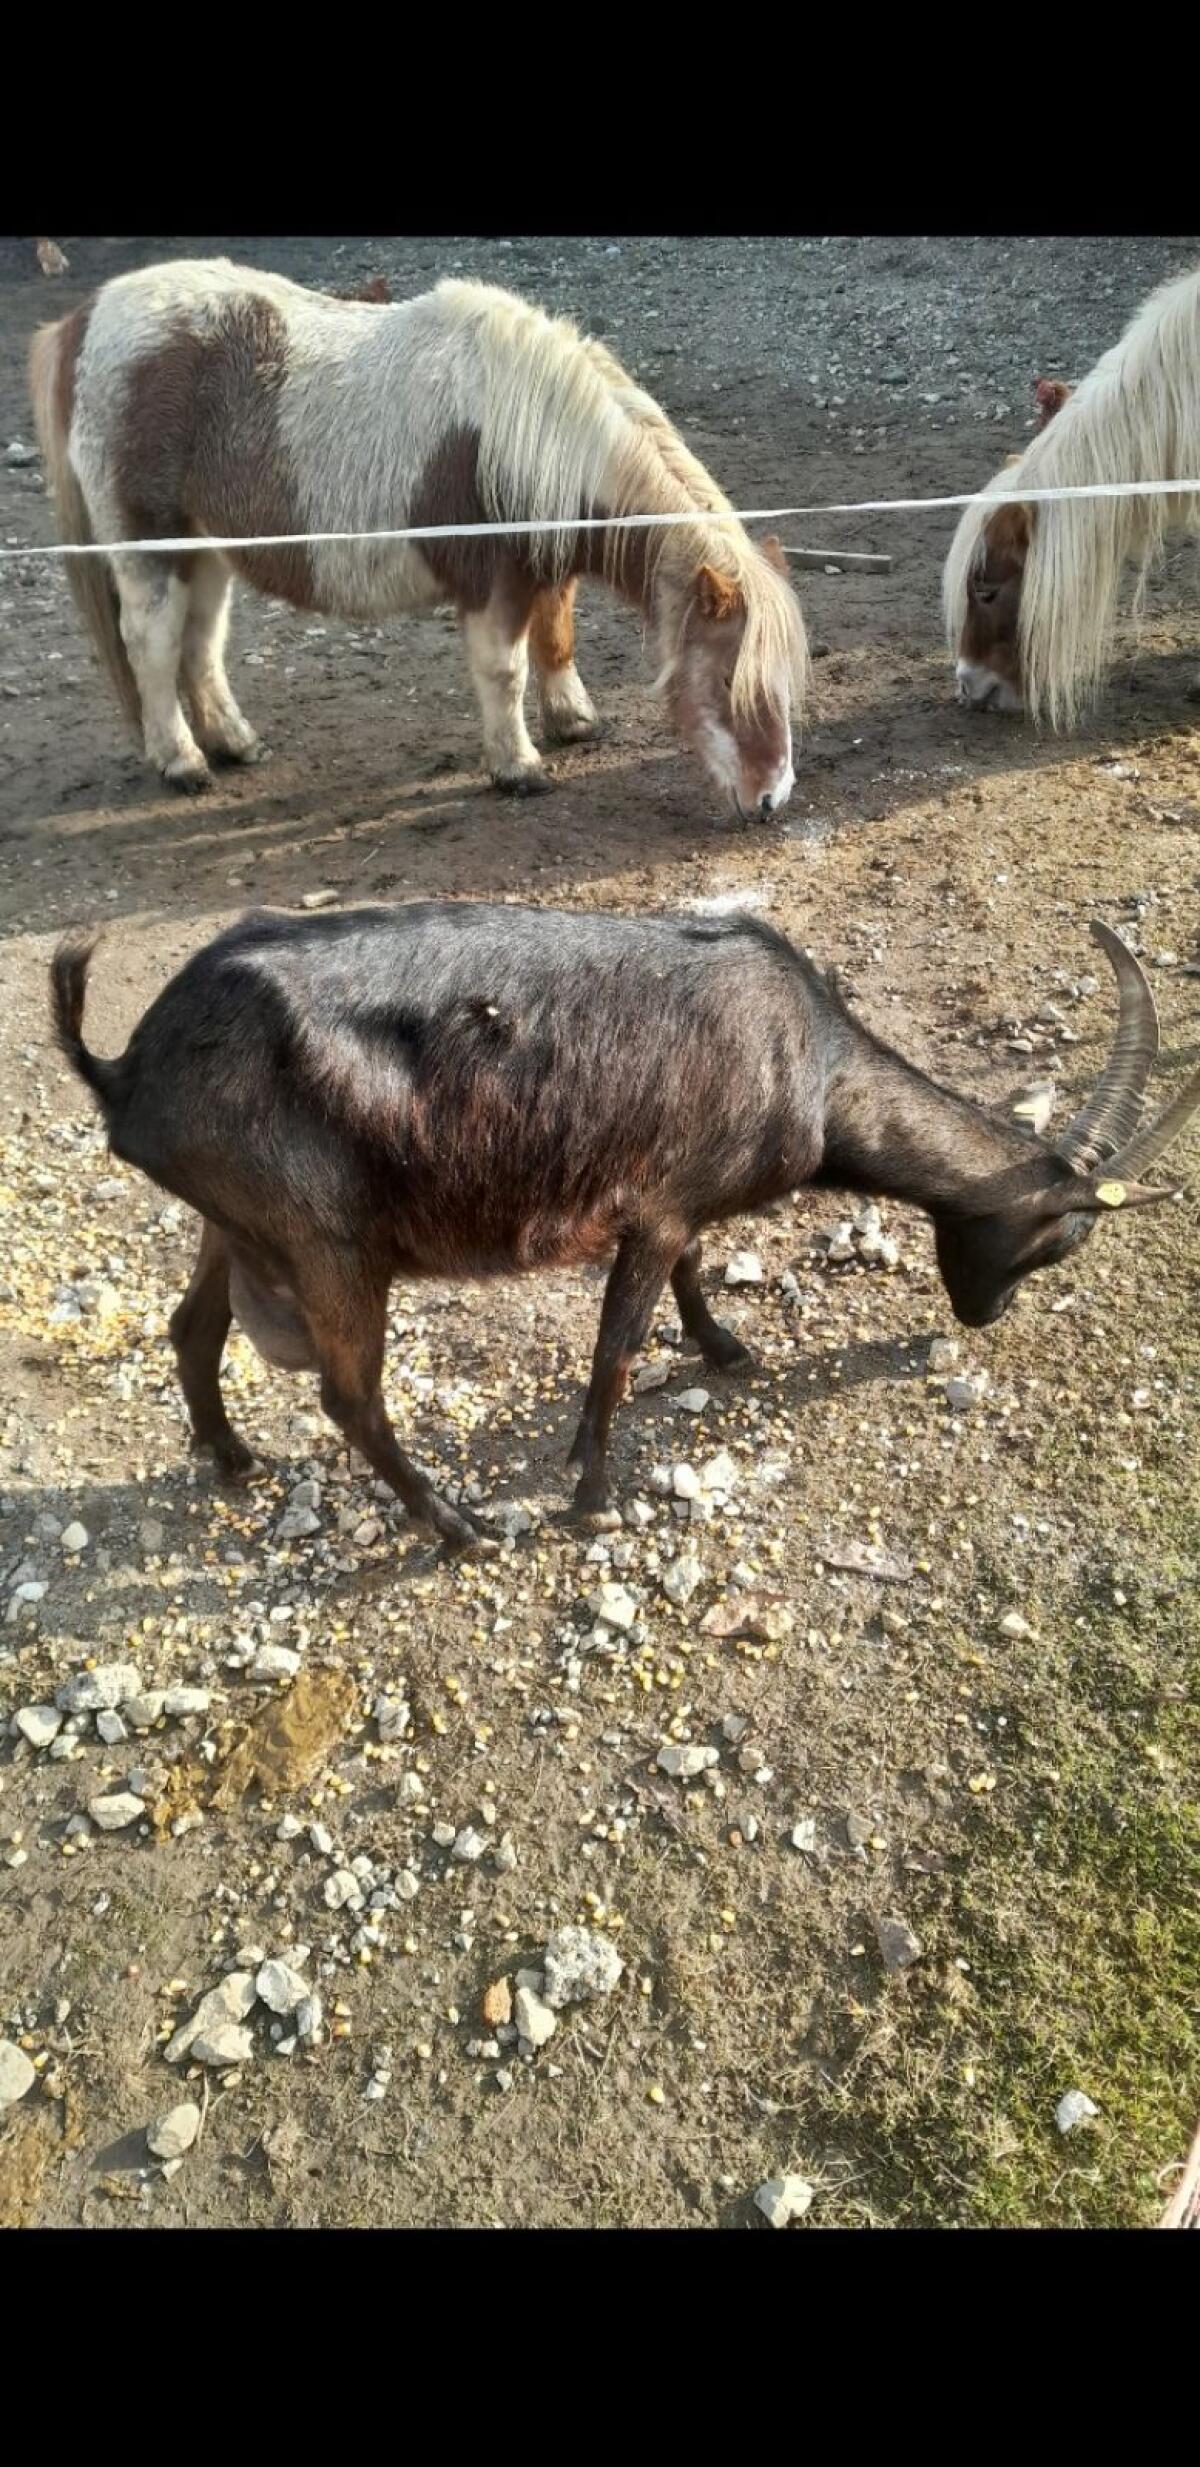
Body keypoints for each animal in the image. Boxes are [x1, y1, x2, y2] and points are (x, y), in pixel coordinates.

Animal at [50, 903, 1199, 1549]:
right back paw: (459, 1528)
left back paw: (231, 1456)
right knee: (349, 1397)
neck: (813, 1067)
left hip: (235, 1222)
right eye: (1059, 1242)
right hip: (329, 1242)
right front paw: (594, 1492)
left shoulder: (677, 1207)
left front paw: (725, 1347)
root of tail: (124, 1067)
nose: (980, 1316)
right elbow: (616, 1347)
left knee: (193, 1328)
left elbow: (691, 1278)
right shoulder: (653, 1206)